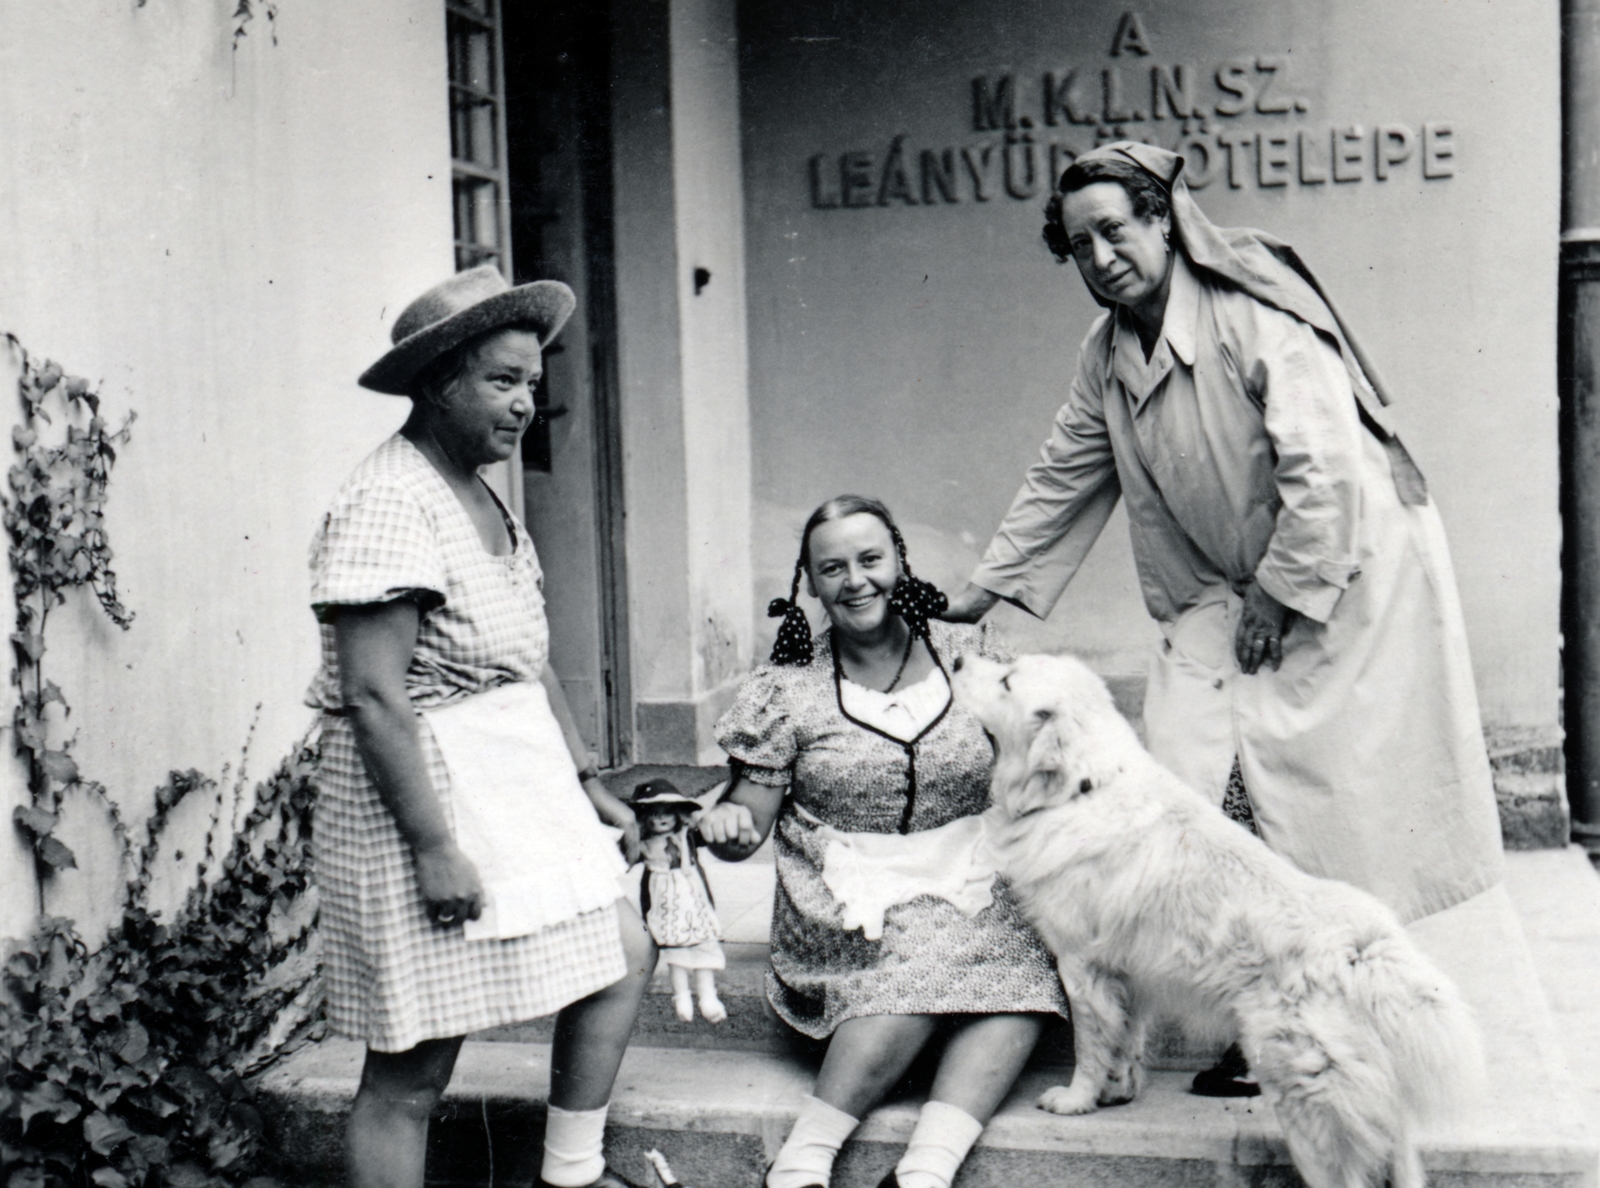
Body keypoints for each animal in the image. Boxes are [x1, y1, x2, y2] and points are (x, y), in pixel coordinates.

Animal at [947, 650, 1484, 1188]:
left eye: (1007, 680)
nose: (954, 659)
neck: (1084, 791)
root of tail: (1360, 950)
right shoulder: (1130, 971)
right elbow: (1126, 1038)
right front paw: (1119, 1091)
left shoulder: (1082, 965)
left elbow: (1092, 1044)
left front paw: (1077, 1100)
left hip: (1305, 1101)